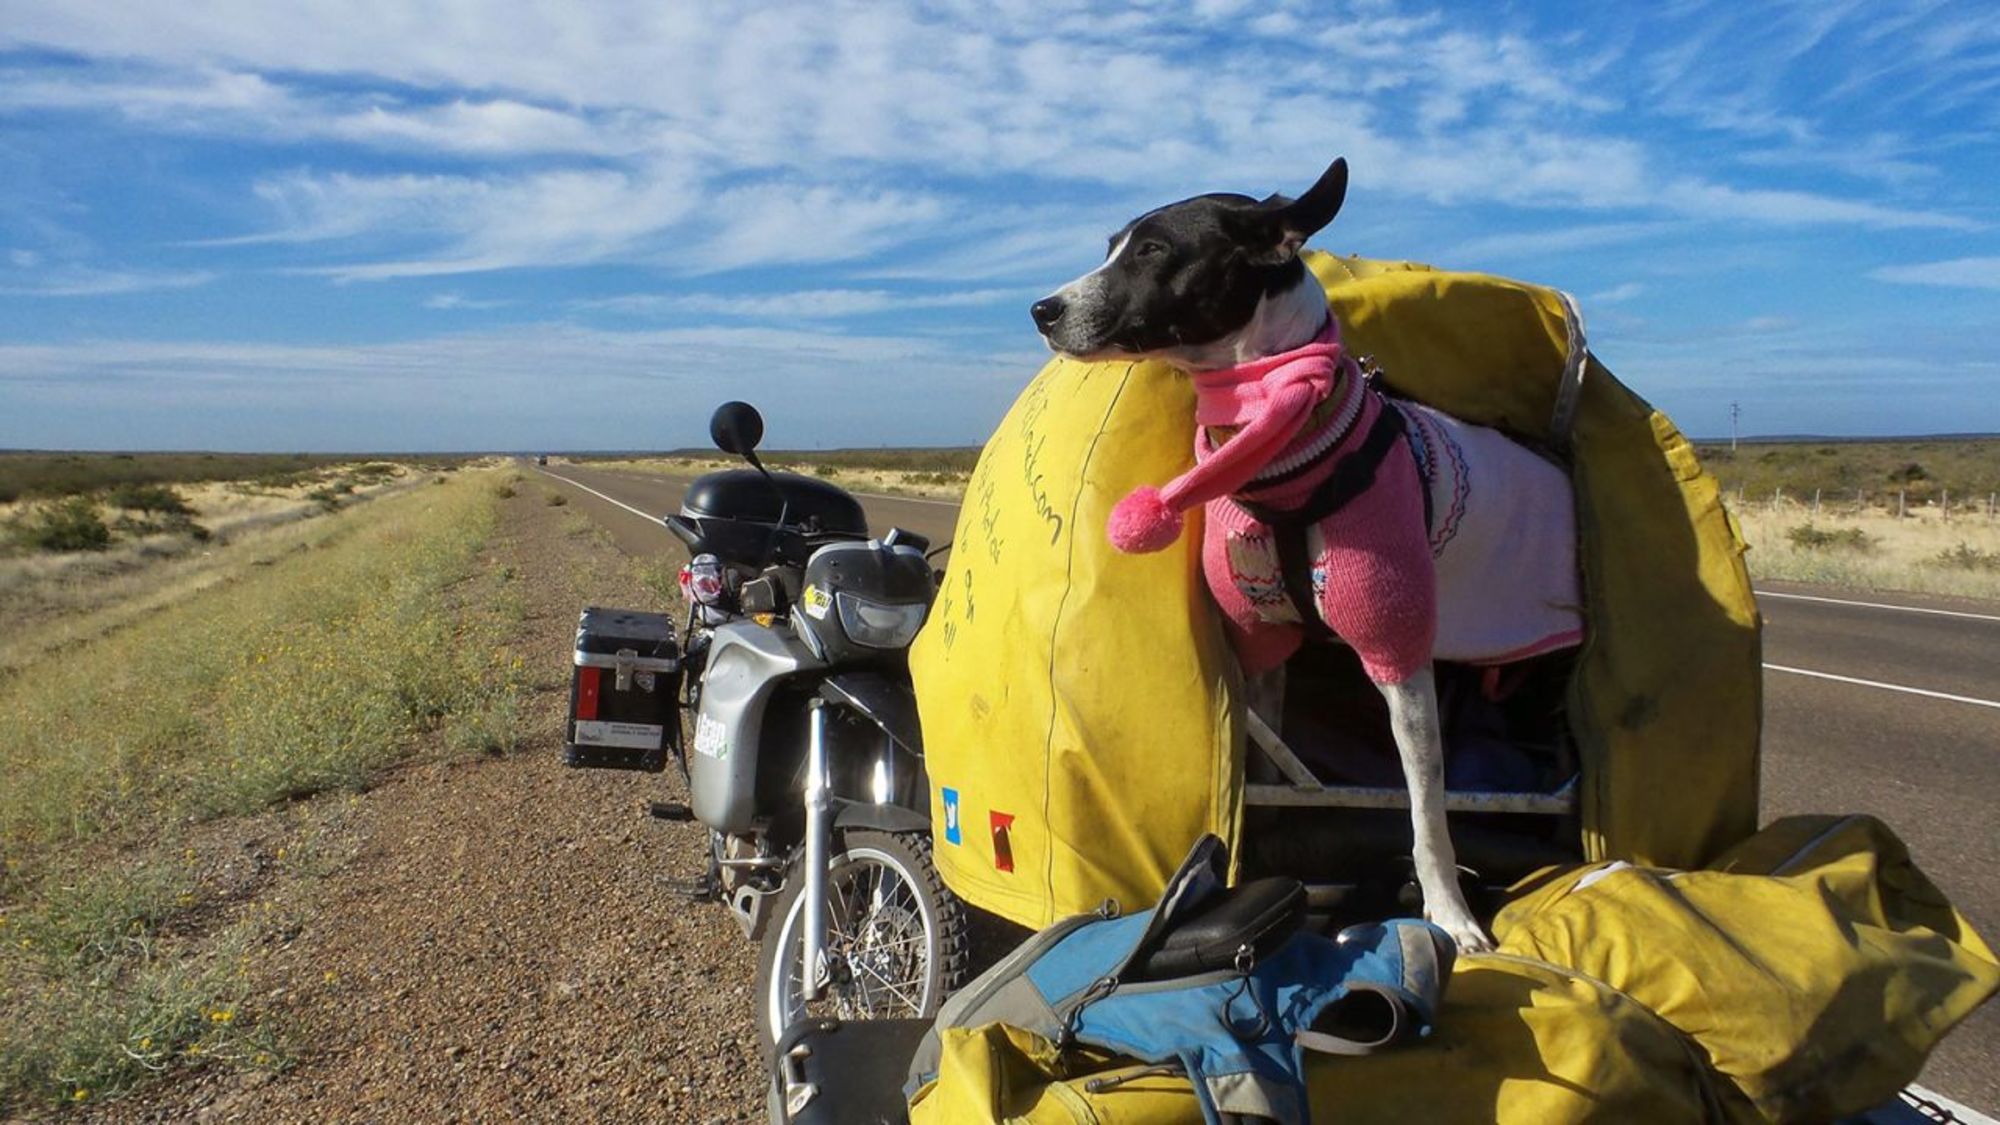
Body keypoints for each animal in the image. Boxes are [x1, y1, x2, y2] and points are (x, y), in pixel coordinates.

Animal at [1032, 155, 1576, 944]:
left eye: (1155, 250)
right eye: (1112, 246)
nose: (1042, 309)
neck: (1288, 455)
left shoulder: (1399, 654)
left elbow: (1427, 813)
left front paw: (1451, 914)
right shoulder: (1263, 649)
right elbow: (1264, 772)